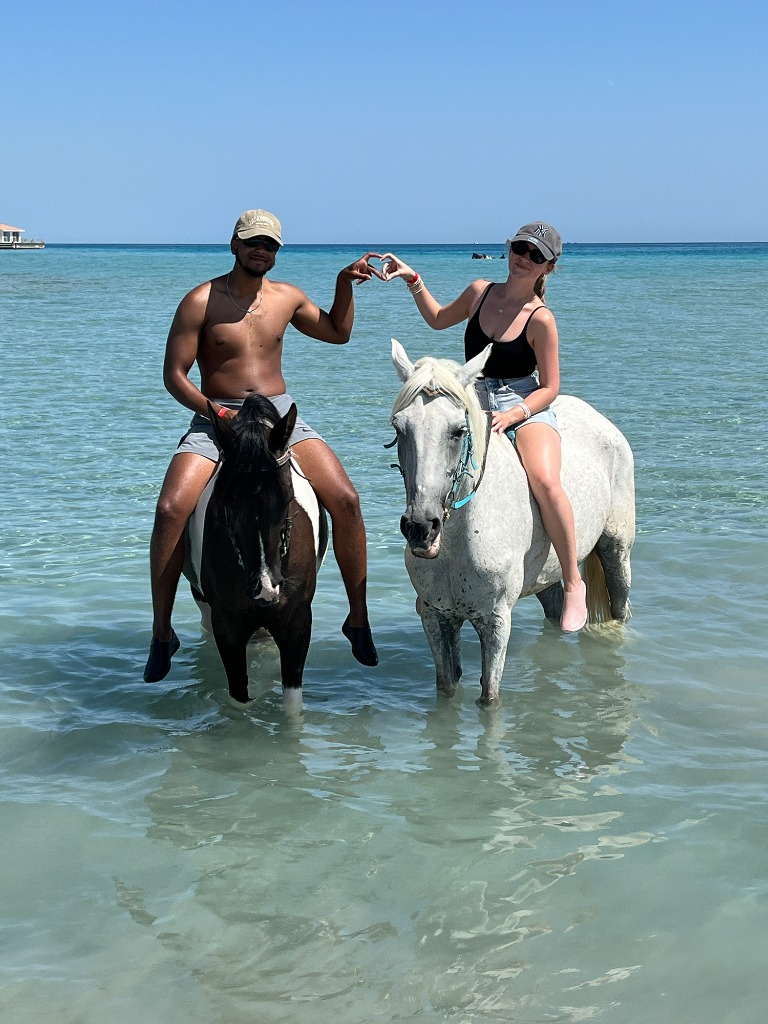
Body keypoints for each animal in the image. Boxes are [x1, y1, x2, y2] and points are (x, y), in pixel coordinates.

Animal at [183, 393, 328, 705]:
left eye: (287, 498)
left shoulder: (297, 622)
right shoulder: (227, 625)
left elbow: (292, 706)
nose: (265, 587)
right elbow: (238, 700)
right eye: (228, 500)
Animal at [389, 338, 635, 706]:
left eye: (458, 431)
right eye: (399, 427)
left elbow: (489, 698)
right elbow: (446, 689)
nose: (421, 527)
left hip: (616, 550)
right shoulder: (436, 617)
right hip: (546, 576)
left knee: (619, 604)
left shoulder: (496, 621)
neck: (458, 543)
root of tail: (602, 422)